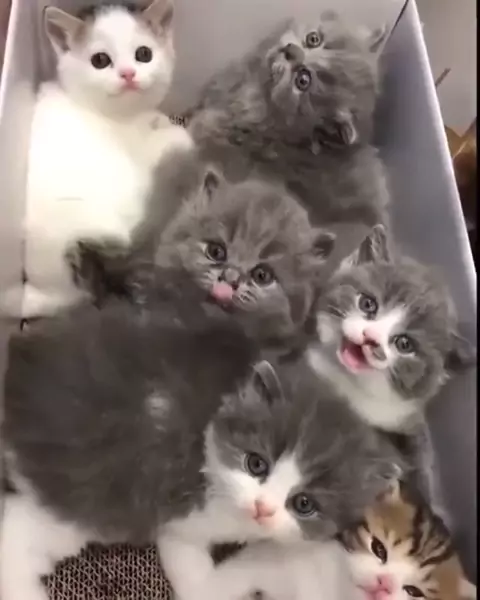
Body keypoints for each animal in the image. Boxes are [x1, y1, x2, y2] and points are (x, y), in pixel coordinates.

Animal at [0, 0, 195, 318]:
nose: (128, 74)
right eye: (100, 60)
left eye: (144, 54)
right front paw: (172, 130)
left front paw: (158, 119)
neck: (119, 115)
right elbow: (171, 139)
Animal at [1, 356, 403, 600]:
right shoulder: (179, 516)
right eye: (256, 464)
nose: (262, 508)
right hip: (85, 498)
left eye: (305, 504)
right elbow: (195, 573)